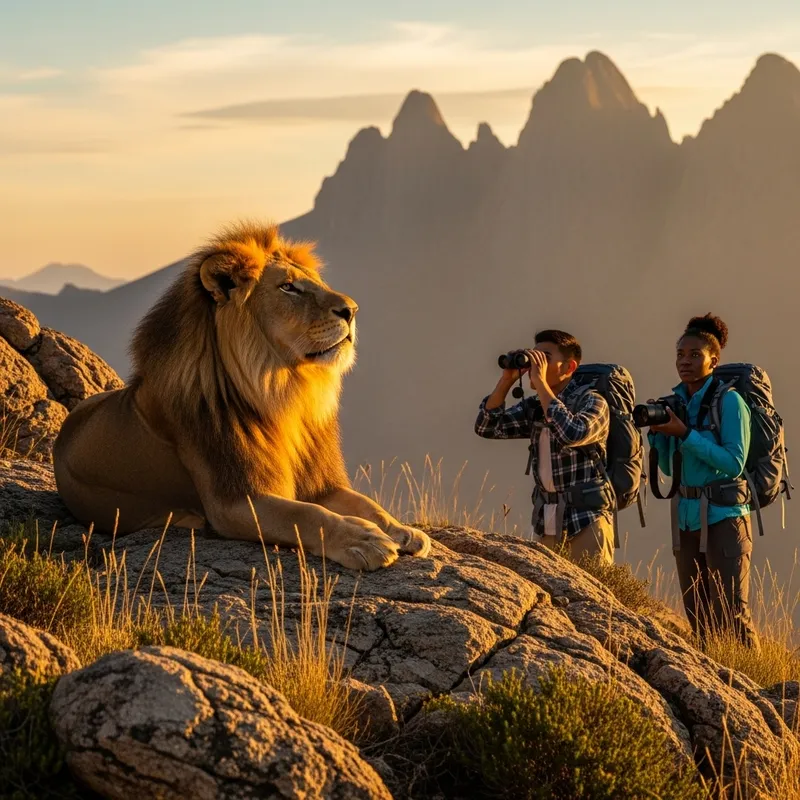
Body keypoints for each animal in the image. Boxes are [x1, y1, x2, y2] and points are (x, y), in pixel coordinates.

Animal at [52, 221, 431, 571]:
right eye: (289, 287)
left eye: (315, 282)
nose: (351, 310)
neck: (285, 394)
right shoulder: (234, 501)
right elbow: (307, 515)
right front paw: (364, 540)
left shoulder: (319, 482)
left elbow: (366, 504)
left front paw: (403, 531)